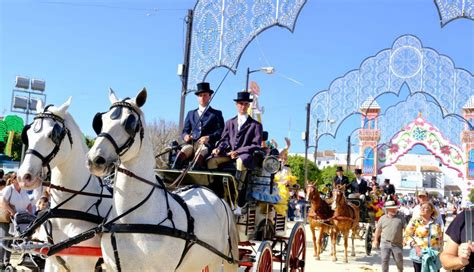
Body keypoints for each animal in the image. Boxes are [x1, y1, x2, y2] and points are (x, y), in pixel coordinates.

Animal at [86, 89, 239, 272]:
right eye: (100, 121)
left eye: (130, 123)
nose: (95, 159)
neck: (130, 219)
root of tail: (217, 197)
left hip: (216, 260)